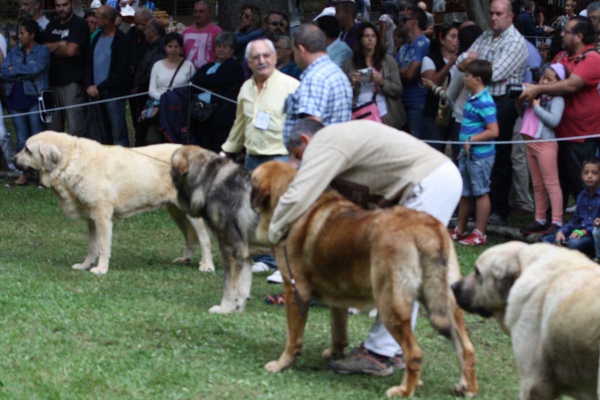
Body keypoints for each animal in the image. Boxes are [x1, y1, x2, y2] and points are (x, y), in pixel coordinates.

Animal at [12, 131, 216, 276]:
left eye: (27, 150)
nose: (13, 160)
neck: (70, 161)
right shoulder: (91, 219)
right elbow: (92, 246)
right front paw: (85, 265)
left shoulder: (102, 216)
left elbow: (103, 245)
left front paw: (101, 269)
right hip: (176, 211)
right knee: (190, 237)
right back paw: (185, 259)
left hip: (191, 212)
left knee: (204, 238)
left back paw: (207, 265)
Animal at [248, 162, 478, 396]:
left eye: (250, 177)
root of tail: (428, 229)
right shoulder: (338, 296)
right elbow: (338, 330)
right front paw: (335, 353)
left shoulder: (296, 292)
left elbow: (293, 337)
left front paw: (281, 364)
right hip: (447, 303)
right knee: (466, 348)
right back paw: (467, 387)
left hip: (390, 305)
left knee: (414, 354)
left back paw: (404, 390)